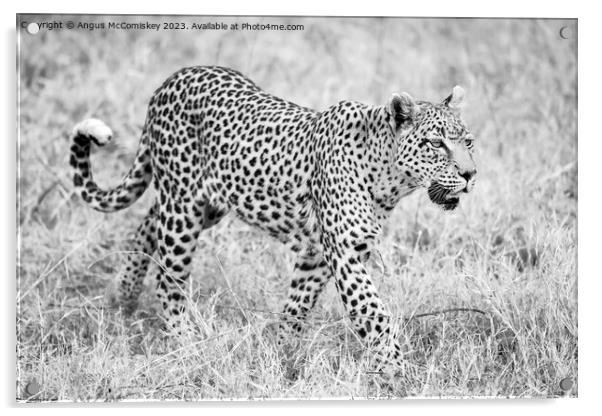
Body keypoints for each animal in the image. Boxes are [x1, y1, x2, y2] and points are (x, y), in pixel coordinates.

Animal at [69, 65, 474, 368]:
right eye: (436, 144)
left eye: (468, 141)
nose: (470, 174)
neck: (389, 178)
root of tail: (172, 79)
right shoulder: (344, 253)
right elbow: (373, 314)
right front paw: (397, 373)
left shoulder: (320, 254)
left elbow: (297, 306)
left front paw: (286, 357)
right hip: (182, 208)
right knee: (169, 279)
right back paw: (184, 344)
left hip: (203, 205)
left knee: (145, 228)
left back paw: (124, 300)